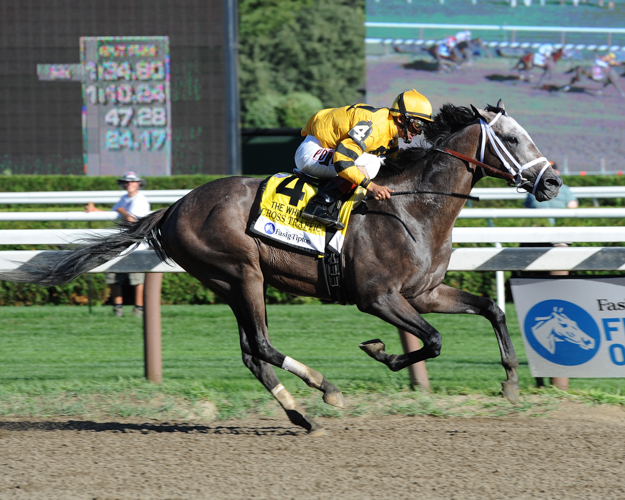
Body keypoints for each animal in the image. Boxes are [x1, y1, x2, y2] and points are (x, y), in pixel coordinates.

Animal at [0, 100, 560, 434]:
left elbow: (490, 308)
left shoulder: (424, 293)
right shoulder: (378, 297)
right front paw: (378, 350)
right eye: (513, 139)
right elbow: (434, 340)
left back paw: (299, 413)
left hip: (230, 283)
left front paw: (511, 382)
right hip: (241, 272)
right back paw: (325, 390)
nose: (552, 182)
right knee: (263, 346)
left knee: (252, 354)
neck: (414, 208)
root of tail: (173, 207)